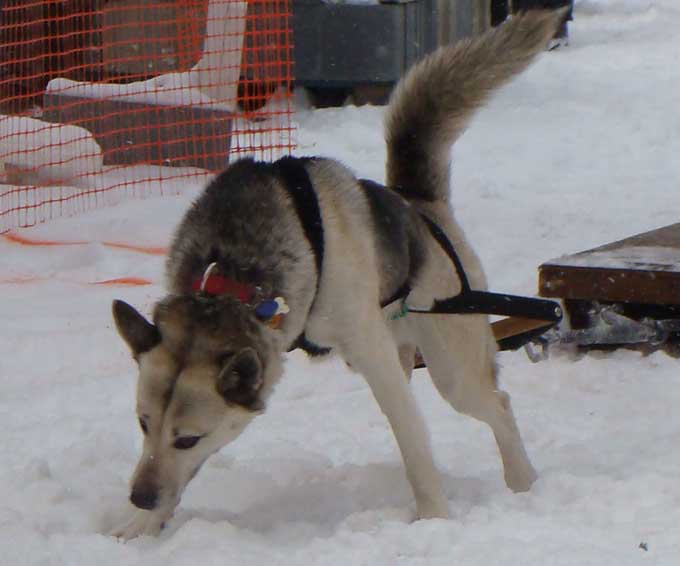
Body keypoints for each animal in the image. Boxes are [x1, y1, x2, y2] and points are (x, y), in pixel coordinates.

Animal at [113, 10, 564, 540]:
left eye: (186, 438)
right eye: (142, 423)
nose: (139, 496)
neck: (229, 274)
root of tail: (416, 204)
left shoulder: (372, 354)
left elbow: (416, 448)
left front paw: (434, 517)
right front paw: (142, 525)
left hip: (451, 370)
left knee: (499, 406)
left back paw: (522, 481)